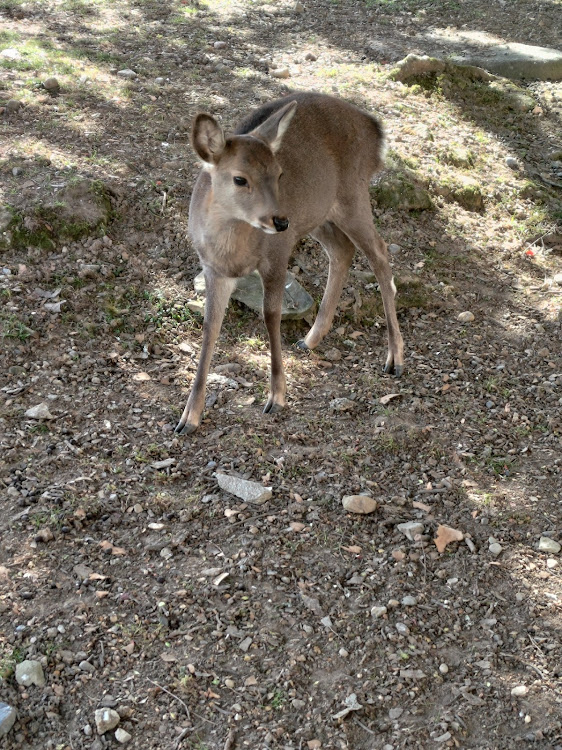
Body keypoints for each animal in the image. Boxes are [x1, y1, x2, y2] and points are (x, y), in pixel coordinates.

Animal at [175, 92, 402, 438]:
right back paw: (310, 339)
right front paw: (188, 417)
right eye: (239, 178)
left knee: (379, 252)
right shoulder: (214, 270)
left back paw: (395, 358)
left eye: (280, 173)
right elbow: (210, 327)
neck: (234, 252)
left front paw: (276, 397)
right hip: (318, 214)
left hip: (352, 196)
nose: (280, 220)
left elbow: (271, 317)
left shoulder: (278, 254)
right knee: (343, 249)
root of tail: (375, 130)